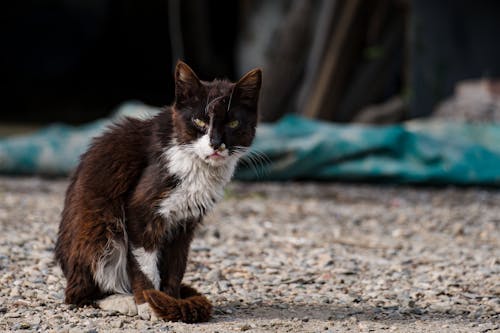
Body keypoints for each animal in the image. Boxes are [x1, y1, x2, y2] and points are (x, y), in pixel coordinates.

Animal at [54, 60, 262, 322]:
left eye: (233, 123)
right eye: (199, 122)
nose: (216, 144)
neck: (195, 163)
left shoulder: (186, 221)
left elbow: (175, 267)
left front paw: (170, 303)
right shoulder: (140, 211)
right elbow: (144, 264)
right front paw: (148, 304)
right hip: (99, 225)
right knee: (78, 295)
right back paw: (122, 299)